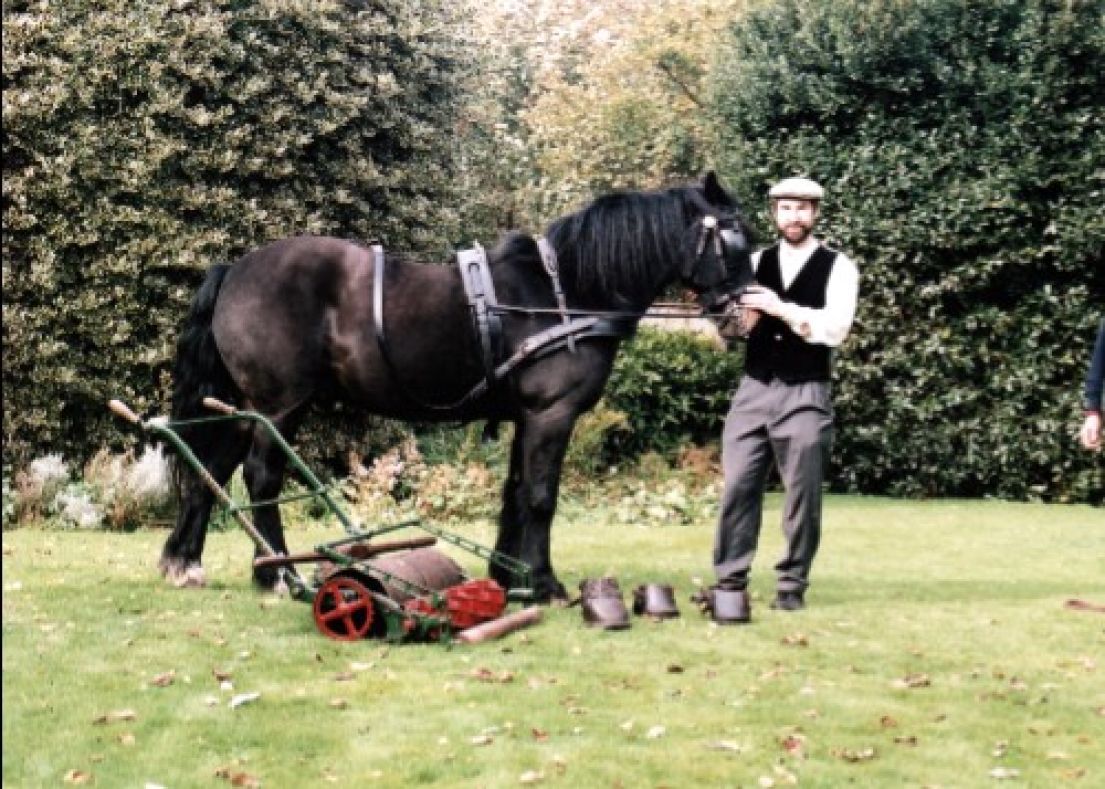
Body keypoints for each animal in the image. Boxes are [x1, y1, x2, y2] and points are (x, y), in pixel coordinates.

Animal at [163, 170, 755, 596]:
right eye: (733, 237)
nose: (744, 314)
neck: (563, 291)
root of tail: (234, 270)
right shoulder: (552, 413)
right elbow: (541, 496)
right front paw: (543, 582)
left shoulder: (527, 416)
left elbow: (514, 491)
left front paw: (507, 573)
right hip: (279, 405)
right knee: (260, 477)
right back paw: (277, 572)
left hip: (245, 404)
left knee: (213, 469)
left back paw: (186, 561)